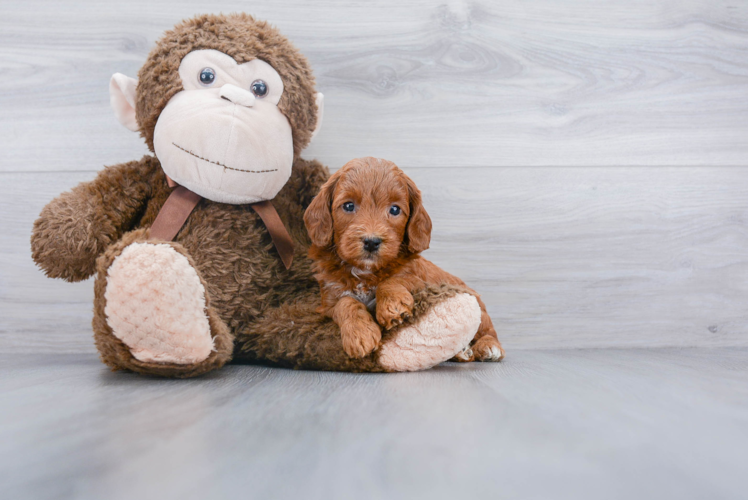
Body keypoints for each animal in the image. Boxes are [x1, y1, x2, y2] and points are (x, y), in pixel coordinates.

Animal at [302, 156, 502, 360]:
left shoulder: (420, 282)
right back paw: (462, 352)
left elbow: (394, 279)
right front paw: (360, 333)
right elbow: (345, 303)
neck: (365, 272)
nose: (371, 242)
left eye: (395, 209)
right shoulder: (328, 301)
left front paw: (392, 306)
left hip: (478, 307)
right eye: (349, 206)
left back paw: (488, 347)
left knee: (488, 330)